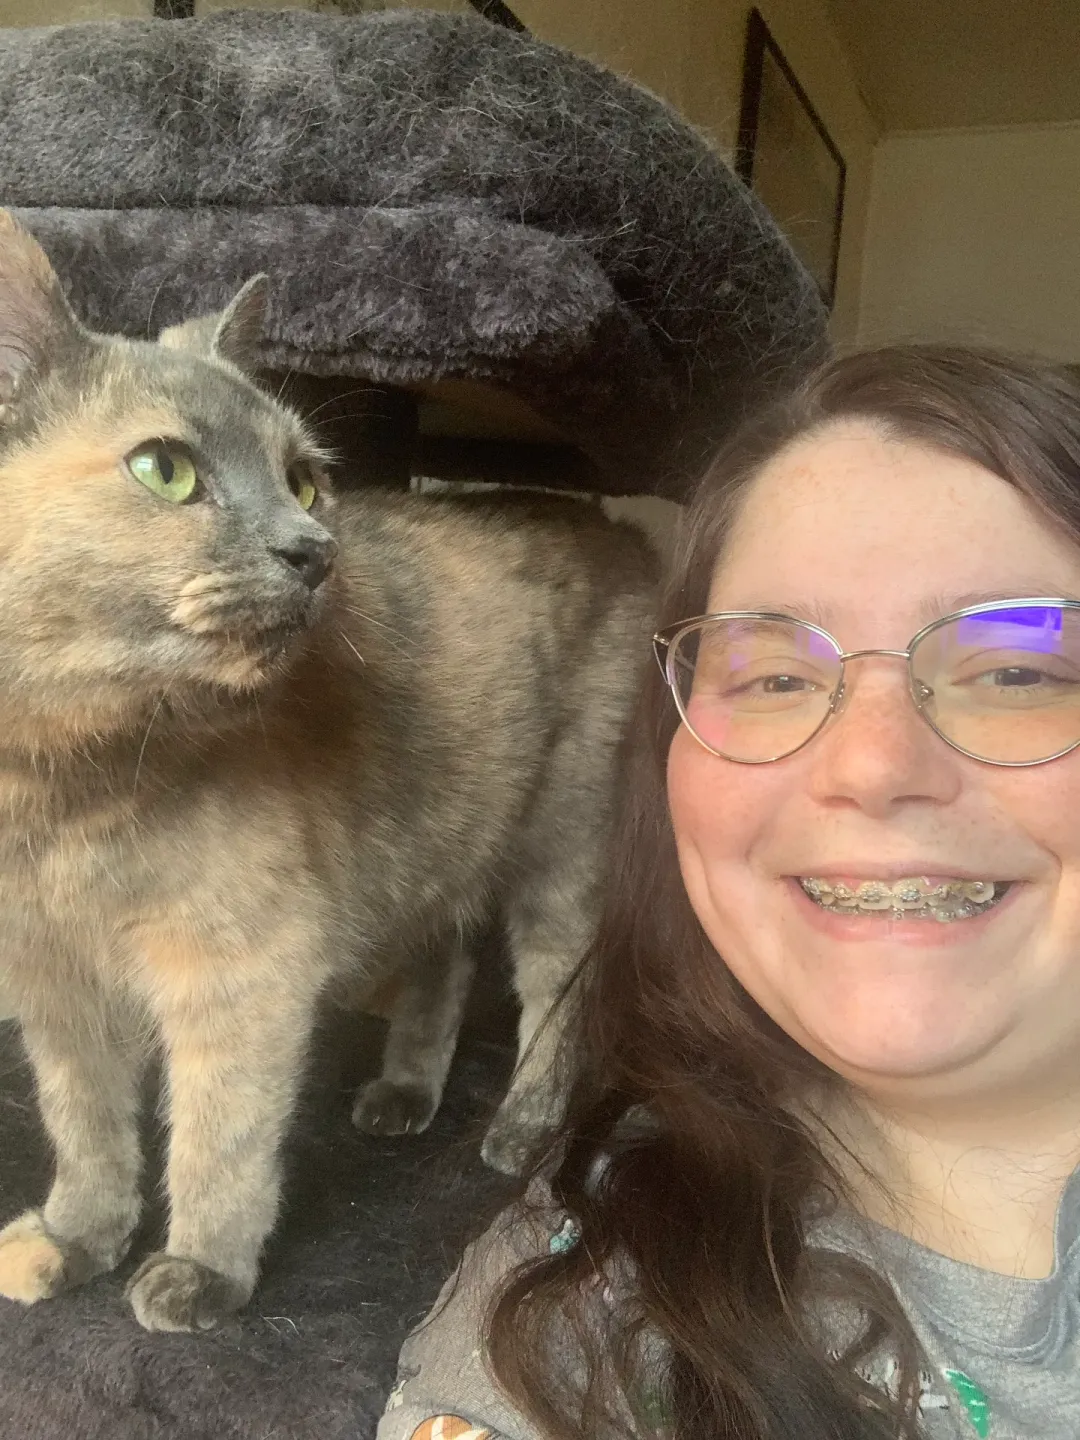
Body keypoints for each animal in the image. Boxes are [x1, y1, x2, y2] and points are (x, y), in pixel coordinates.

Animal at [0, 210, 658, 1332]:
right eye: (164, 470)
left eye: (306, 479)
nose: (311, 547)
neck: (59, 795)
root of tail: (610, 522)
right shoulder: (53, 984)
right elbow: (85, 1127)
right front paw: (70, 1239)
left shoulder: (241, 970)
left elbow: (217, 1138)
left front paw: (198, 1271)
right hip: (441, 831)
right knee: (445, 959)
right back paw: (406, 1092)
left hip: (565, 842)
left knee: (554, 991)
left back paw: (523, 1128)